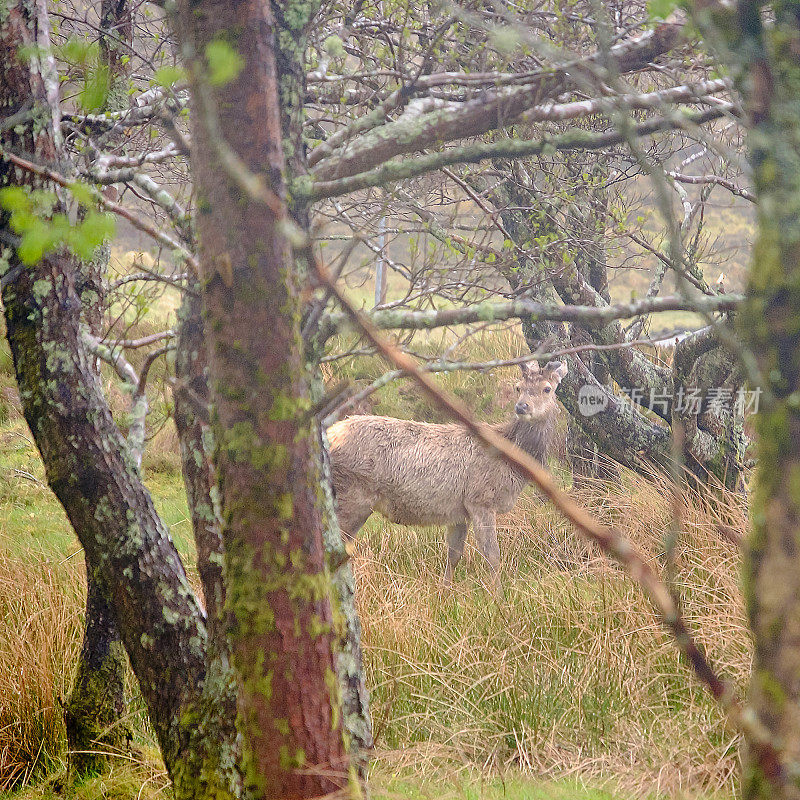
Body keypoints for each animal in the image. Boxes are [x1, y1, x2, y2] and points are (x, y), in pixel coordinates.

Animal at [326, 360, 568, 592]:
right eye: (519, 387)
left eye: (547, 388)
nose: (521, 406)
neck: (511, 465)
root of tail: (329, 434)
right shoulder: (480, 500)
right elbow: (492, 555)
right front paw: (498, 597)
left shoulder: (459, 511)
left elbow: (454, 554)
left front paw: (445, 592)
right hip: (352, 494)